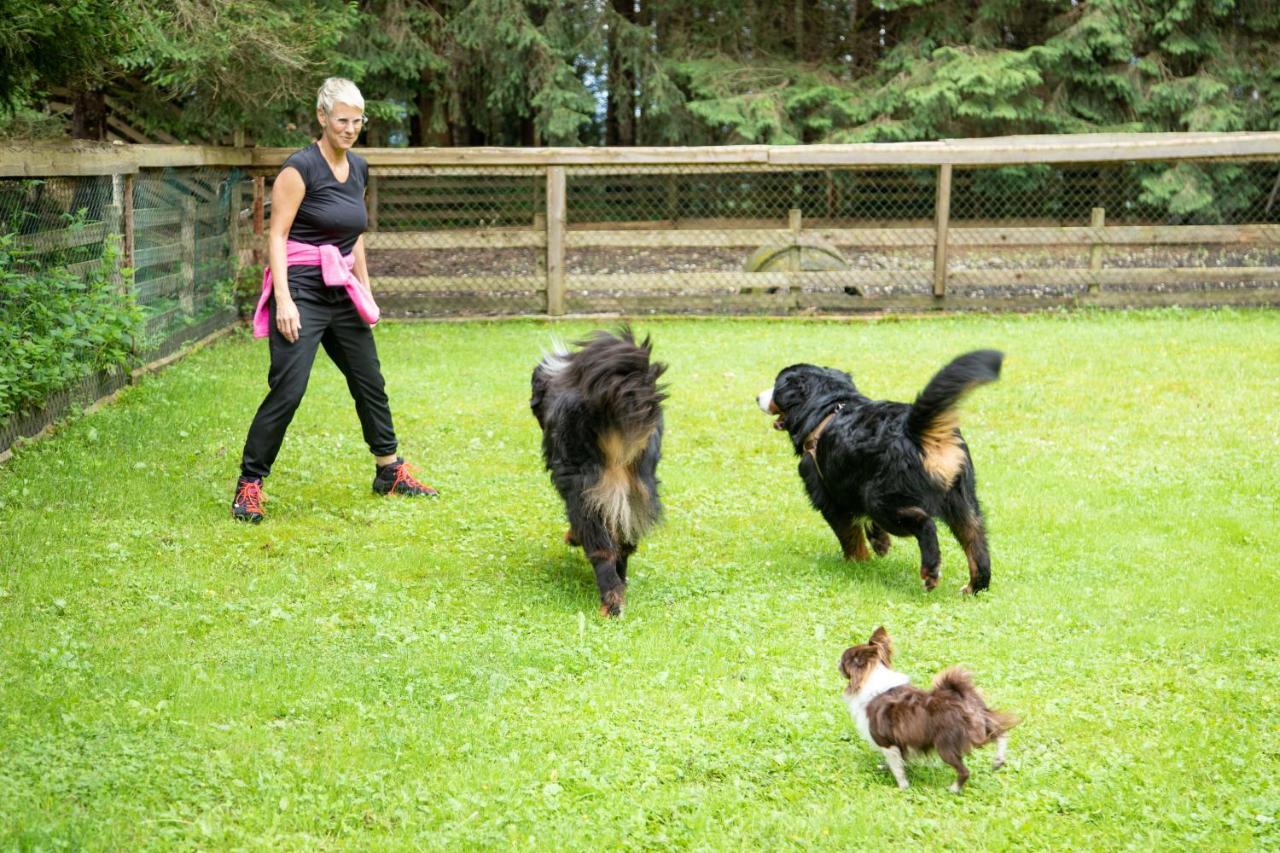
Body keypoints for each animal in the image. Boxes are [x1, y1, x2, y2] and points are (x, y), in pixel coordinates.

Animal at [529, 324, 670, 612]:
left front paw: (572, 537)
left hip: (588, 490)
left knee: (602, 549)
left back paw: (611, 603)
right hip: (637, 492)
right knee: (623, 547)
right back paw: (622, 583)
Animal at [752, 348, 1003, 594]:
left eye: (777, 386)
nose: (757, 397)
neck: (827, 409)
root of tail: (916, 431)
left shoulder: (829, 495)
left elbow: (849, 534)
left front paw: (857, 563)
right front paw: (879, 542)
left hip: (881, 498)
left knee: (925, 523)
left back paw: (930, 571)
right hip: (962, 501)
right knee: (976, 542)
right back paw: (975, 586)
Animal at [839, 625, 1018, 788]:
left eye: (843, 660)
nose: (836, 661)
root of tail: (960, 697)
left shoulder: (887, 743)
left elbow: (897, 768)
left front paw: (903, 786)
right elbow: (899, 761)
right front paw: (886, 768)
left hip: (946, 745)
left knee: (965, 770)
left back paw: (954, 789)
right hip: (980, 725)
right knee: (1000, 733)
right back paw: (998, 760)